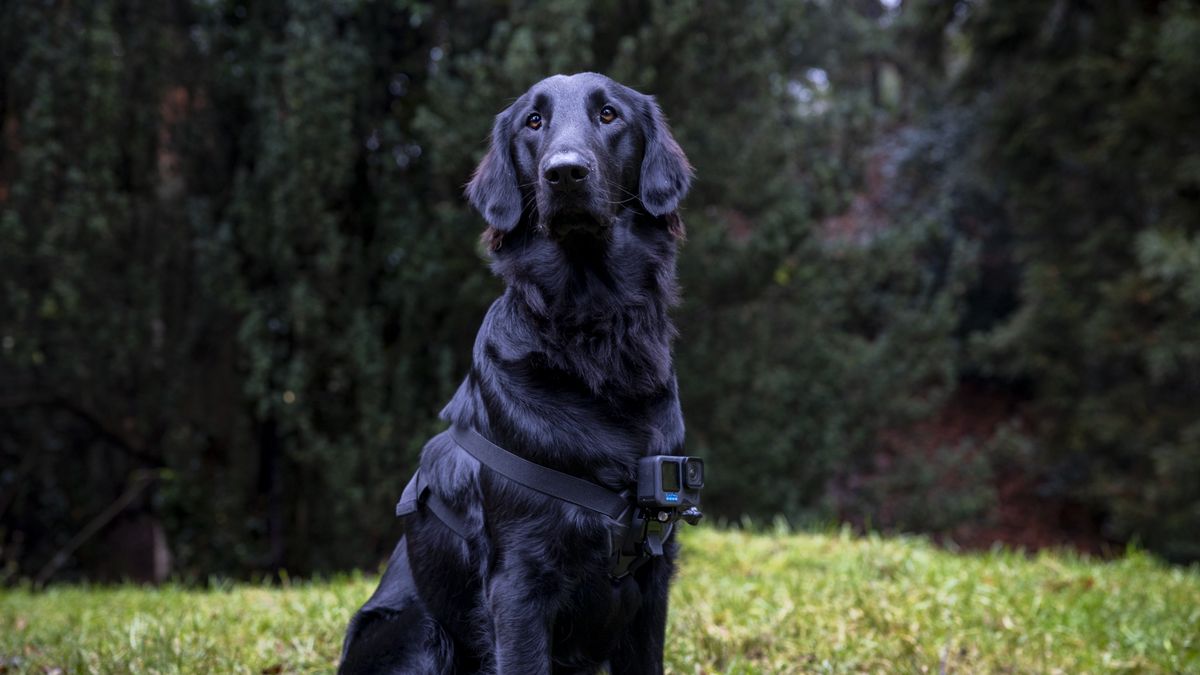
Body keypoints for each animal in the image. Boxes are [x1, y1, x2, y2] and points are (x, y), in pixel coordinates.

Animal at [338, 72, 696, 672]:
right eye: (533, 122)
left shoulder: (652, 578)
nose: (565, 172)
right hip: (419, 632)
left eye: (609, 115)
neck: (593, 337)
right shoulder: (519, 582)